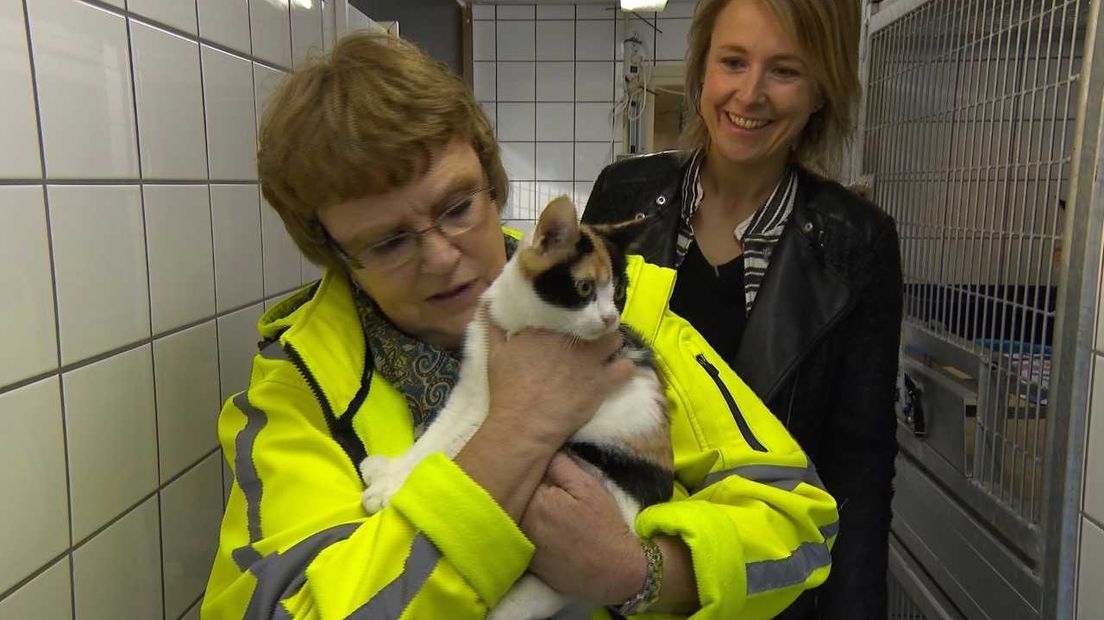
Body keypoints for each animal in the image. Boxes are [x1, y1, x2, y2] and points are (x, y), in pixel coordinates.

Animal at [362, 195, 671, 613]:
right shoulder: (472, 389)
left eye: (620, 292)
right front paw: (389, 470)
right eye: (584, 287)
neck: (521, 320)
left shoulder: (495, 411)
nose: (610, 318)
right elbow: (436, 438)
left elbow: (452, 447)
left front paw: (390, 489)